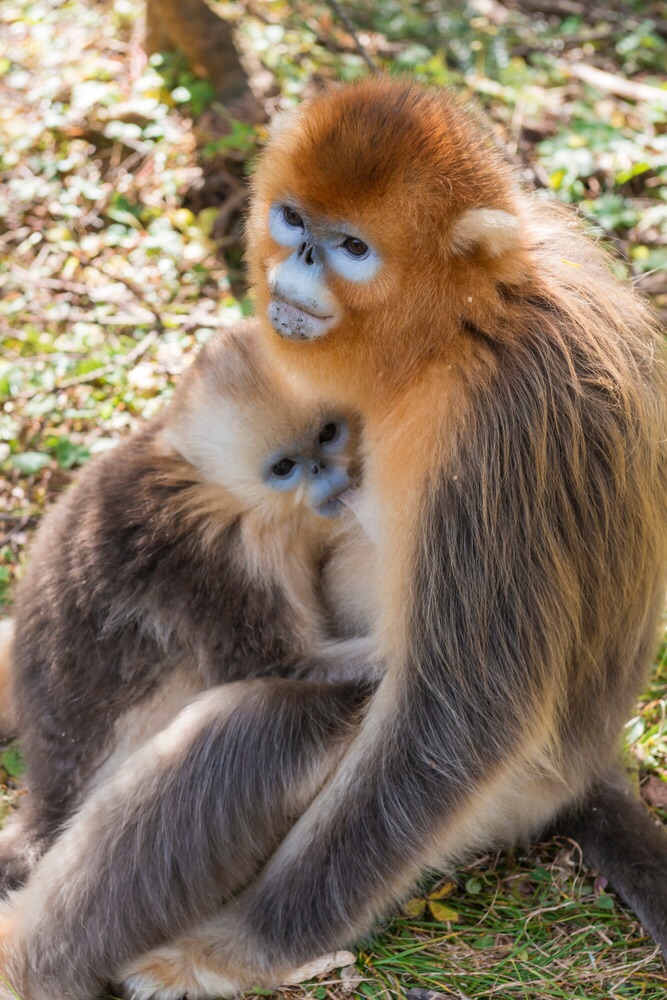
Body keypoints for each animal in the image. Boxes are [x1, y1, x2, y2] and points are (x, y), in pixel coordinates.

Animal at [1, 318, 376, 892]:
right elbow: (279, 666)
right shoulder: (215, 556)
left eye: (328, 434)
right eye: (285, 467)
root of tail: (47, 797)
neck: (218, 489)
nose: (326, 473)